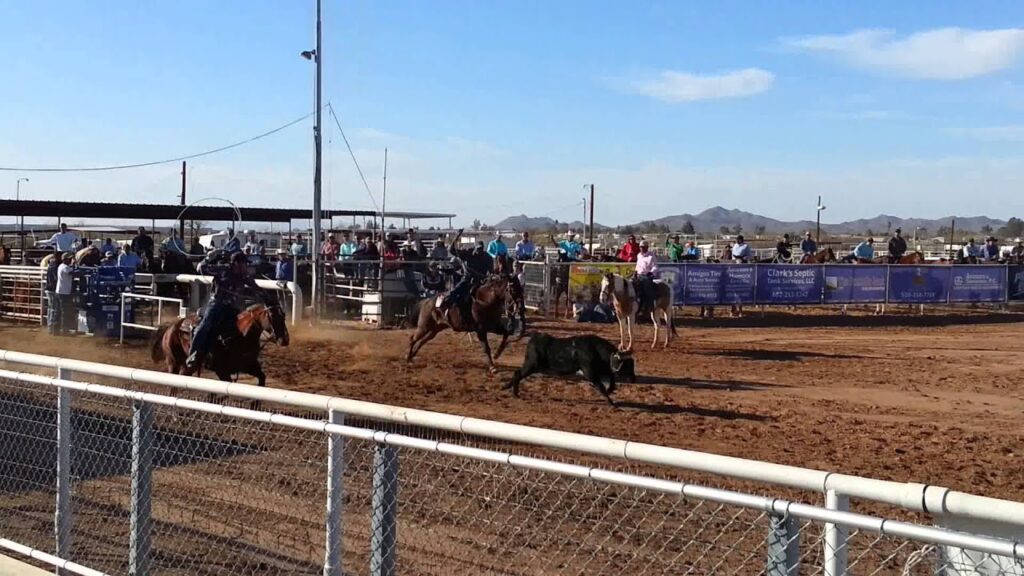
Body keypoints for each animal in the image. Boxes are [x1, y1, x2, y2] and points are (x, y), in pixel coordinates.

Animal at [147, 297, 288, 391]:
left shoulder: (249, 366)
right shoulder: (221, 370)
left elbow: (262, 379)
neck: (239, 335)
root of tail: (171, 327)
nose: (285, 340)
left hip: (188, 367)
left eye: (284, 315)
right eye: (272, 315)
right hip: (173, 362)